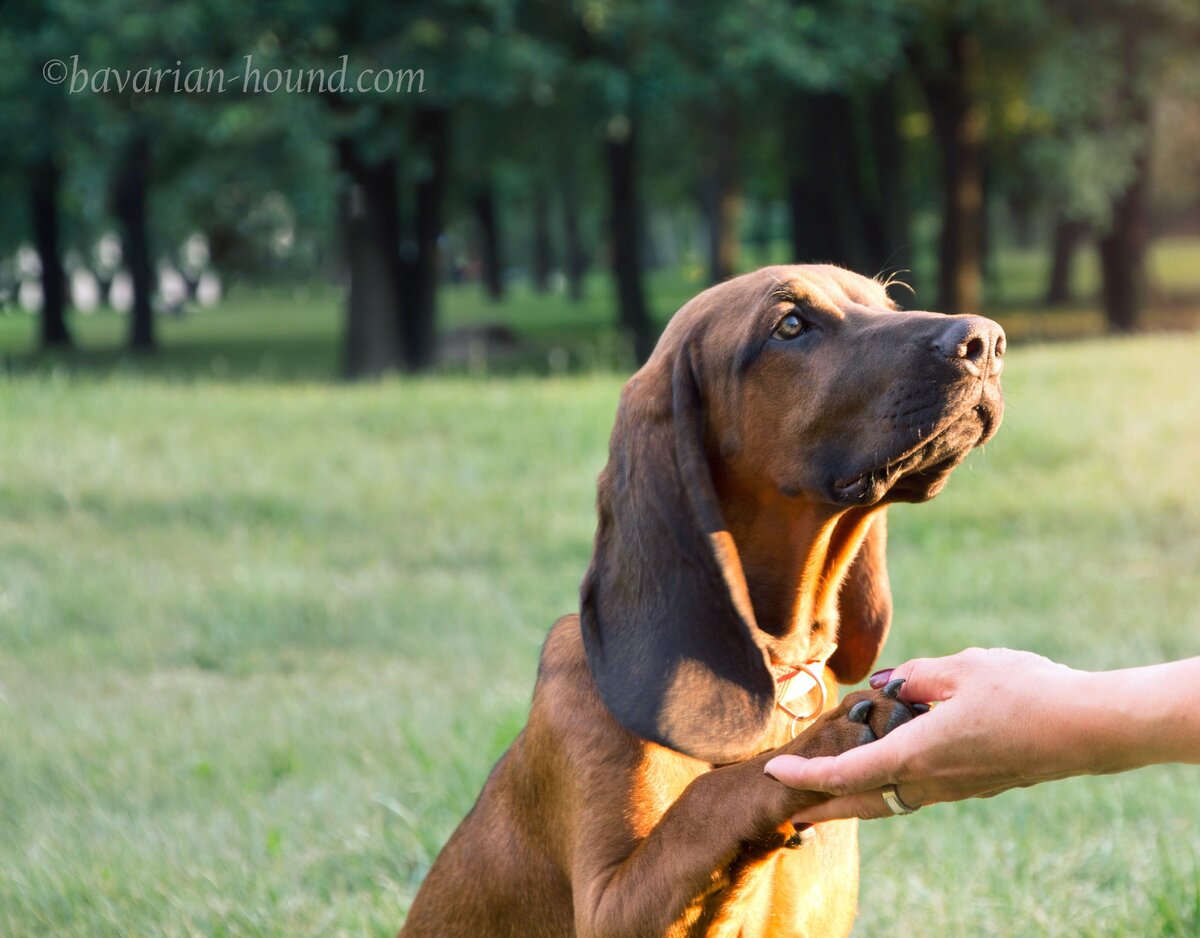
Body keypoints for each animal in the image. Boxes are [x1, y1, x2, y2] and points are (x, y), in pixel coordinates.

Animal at [403, 266, 1003, 938]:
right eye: (790, 325)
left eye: (889, 304)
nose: (986, 340)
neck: (773, 671)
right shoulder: (610, 907)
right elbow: (709, 799)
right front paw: (834, 735)